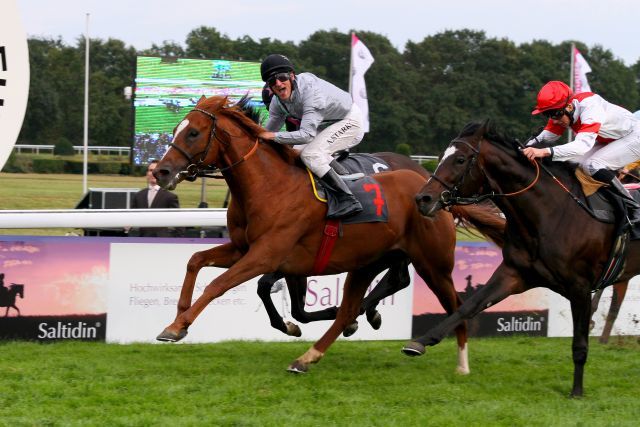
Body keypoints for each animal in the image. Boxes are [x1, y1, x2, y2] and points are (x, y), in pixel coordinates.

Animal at [151, 97, 504, 374]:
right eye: (176, 128)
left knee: (455, 303)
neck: (269, 186)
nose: (161, 172)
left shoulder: (266, 255)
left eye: (193, 132)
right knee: (375, 293)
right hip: (374, 260)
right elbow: (196, 260)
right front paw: (179, 314)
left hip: (433, 263)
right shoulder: (244, 249)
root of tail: (436, 192)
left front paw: (177, 326)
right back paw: (330, 339)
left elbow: (218, 285)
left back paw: (457, 361)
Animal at [410, 121, 640, 398]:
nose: (423, 199)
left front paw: (576, 391)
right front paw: (420, 342)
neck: (551, 213)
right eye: (441, 156)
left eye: (460, 159)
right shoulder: (514, 274)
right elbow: (468, 306)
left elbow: (580, 343)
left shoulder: (580, 288)